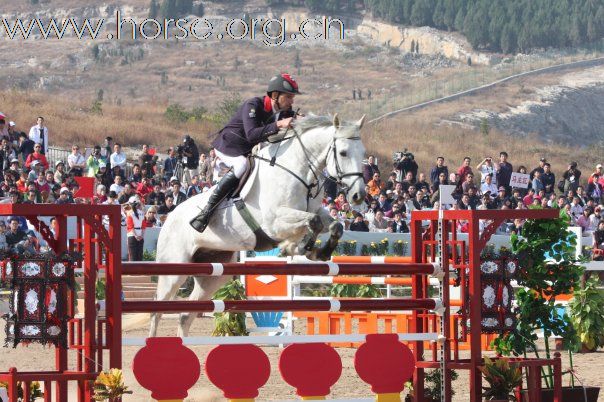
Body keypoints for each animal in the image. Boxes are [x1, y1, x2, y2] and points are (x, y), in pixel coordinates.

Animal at [151, 114, 368, 336]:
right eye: (343, 153)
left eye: (363, 153)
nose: (358, 196)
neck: (298, 171)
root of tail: (169, 217)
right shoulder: (274, 222)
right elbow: (311, 222)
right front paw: (297, 247)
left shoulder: (316, 212)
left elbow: (333, 226)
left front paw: (317, 251)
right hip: (174, 270)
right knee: (157, 311)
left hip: (213, 275)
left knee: (185, 316)